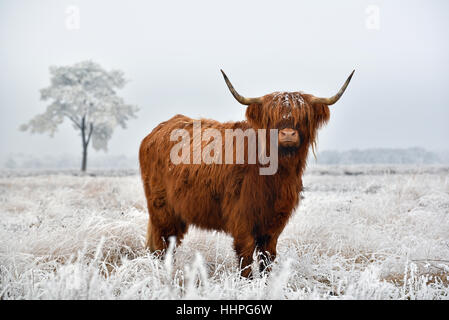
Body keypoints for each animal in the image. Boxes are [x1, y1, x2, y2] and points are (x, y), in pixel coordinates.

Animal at [139, 70, 354, 278]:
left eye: (303, 117)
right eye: (272, 118)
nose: (288, 134)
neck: (276, 175)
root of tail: (158, 130)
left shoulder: (274, 222)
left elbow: (268, 257)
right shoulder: (242, 218)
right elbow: (246, 258)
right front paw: (247, 283)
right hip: (162, 209)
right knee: (162, 245)